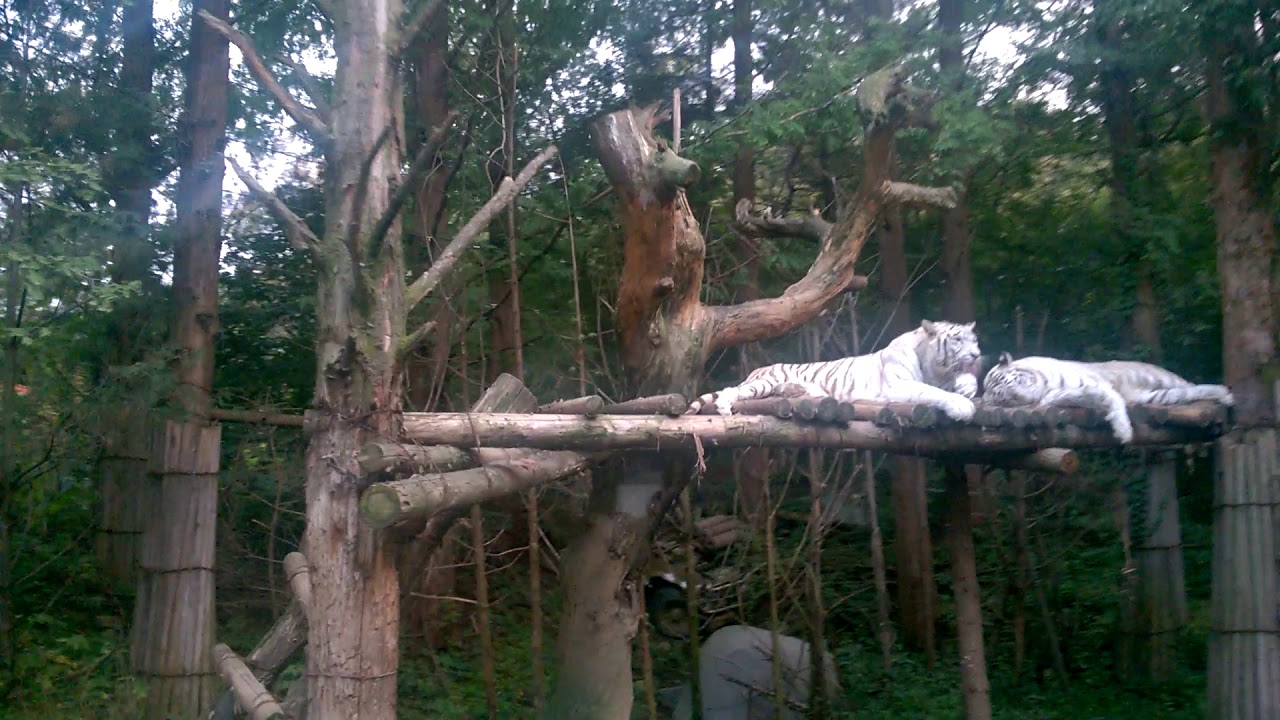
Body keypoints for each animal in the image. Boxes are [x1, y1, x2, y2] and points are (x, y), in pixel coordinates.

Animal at [685, 319, 983, 420]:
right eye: (957, 339)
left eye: (974, 340)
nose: (977, 355)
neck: (936, 368)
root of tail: (756, 370)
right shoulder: (898, 385)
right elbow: (930, 391)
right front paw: (962, 406)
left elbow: (963, 383)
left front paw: (967, 386)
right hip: (764, 382)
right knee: (732, 390)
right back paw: (724, 406)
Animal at [981, 353, 1234, 443]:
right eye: (1003, 399)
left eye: (1007, 384)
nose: (1016, 395)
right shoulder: (1072, 393)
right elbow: (1099, 398)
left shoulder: (1097, 384)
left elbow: (1113, 400)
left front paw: (1124, 433)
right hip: (1158, 397)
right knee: (1189, 392)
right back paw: (1225, 396)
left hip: (1163, 379)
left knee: (1190, 386)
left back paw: (1227, 396)